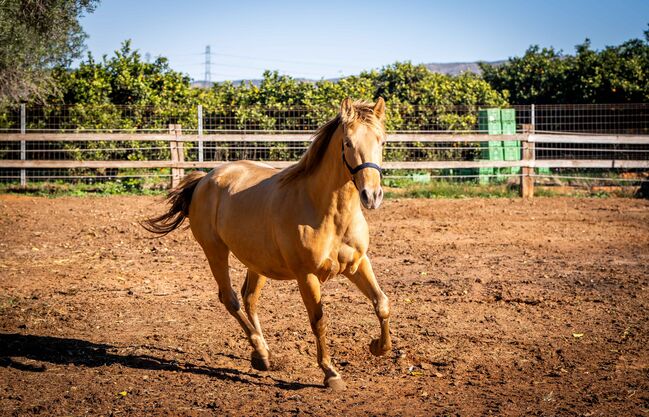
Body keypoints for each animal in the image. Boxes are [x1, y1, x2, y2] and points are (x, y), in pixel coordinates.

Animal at [143, 98, 390, 390]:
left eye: (382, 141)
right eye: (348, 143)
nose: (371, 196)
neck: (327, 212)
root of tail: (205, 179)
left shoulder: (358, 264)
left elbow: (382, 303)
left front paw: (378, 347)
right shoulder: (306, 275)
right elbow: (318, 320)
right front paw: (331, 373)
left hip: (257, 261)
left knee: (249, 298)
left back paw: (263, 354)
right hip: (215, 251)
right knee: (231, 299)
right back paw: (261, 352)